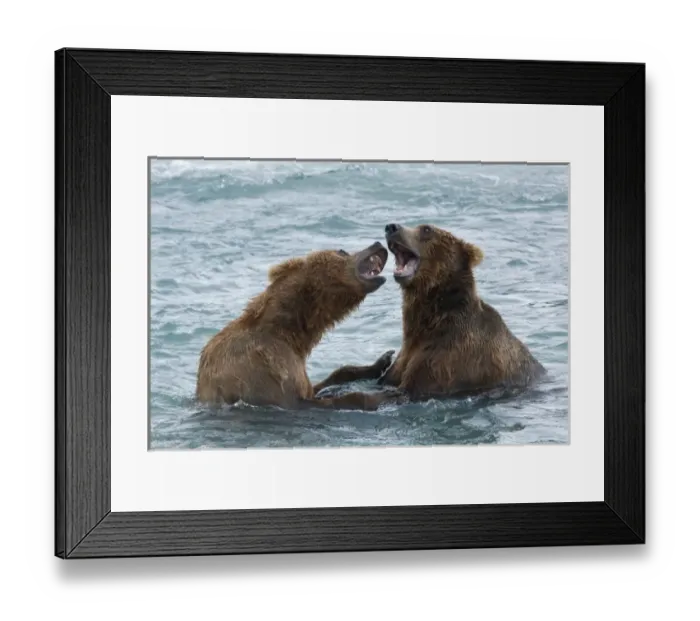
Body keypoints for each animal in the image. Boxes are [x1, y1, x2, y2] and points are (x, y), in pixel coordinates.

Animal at [195, 242, 397, 411]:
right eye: (342, 250)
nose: (378, 244)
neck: (288, 331)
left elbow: (324, 382)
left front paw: (382, 361)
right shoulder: (265, 368)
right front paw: (388, 395)